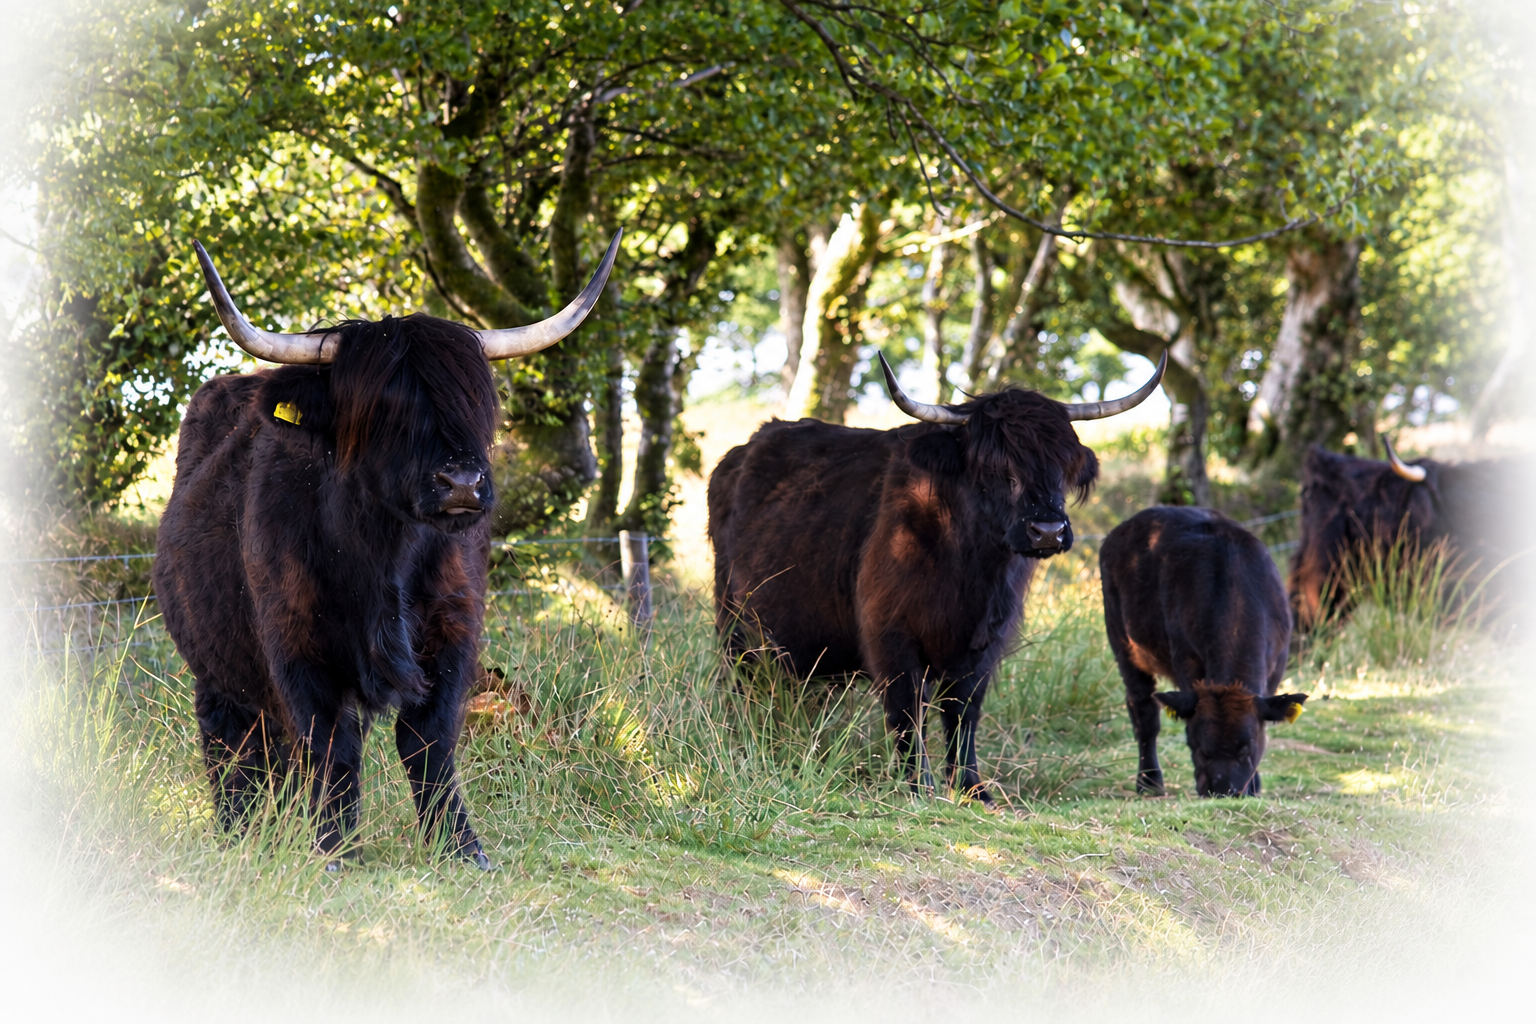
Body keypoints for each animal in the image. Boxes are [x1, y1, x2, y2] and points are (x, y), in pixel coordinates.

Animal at [153, 233, 620, 869]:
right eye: (384, 409)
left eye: (476, 401)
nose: (461, 483)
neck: (384, 559)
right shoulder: (296, 643)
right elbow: (333, 744)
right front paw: (334, 848)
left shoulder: (453, 634)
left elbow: (428, 740)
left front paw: (460, 847)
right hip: (215, 663)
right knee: (233, 742)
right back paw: (240, 831)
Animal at [708, 352, 1168, 806]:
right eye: (994, 466)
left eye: (1063, 465)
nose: (1048, 531)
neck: (969, 573)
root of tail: (740, 453)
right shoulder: (890, 634)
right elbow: (908, 708)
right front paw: (918, 786)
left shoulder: (984, 644)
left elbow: (964, 712)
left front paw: (971, 787)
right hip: (734, 622)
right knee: (741, 682)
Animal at [1100, 506, 1308, 797]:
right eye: (1197, 746)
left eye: (1247, 748)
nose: (1222, 790)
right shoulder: (1185, 659)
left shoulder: (1277, 665)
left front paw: (1254, 785)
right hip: (1123, 643)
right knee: (1144, 713)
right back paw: (1149, 781)